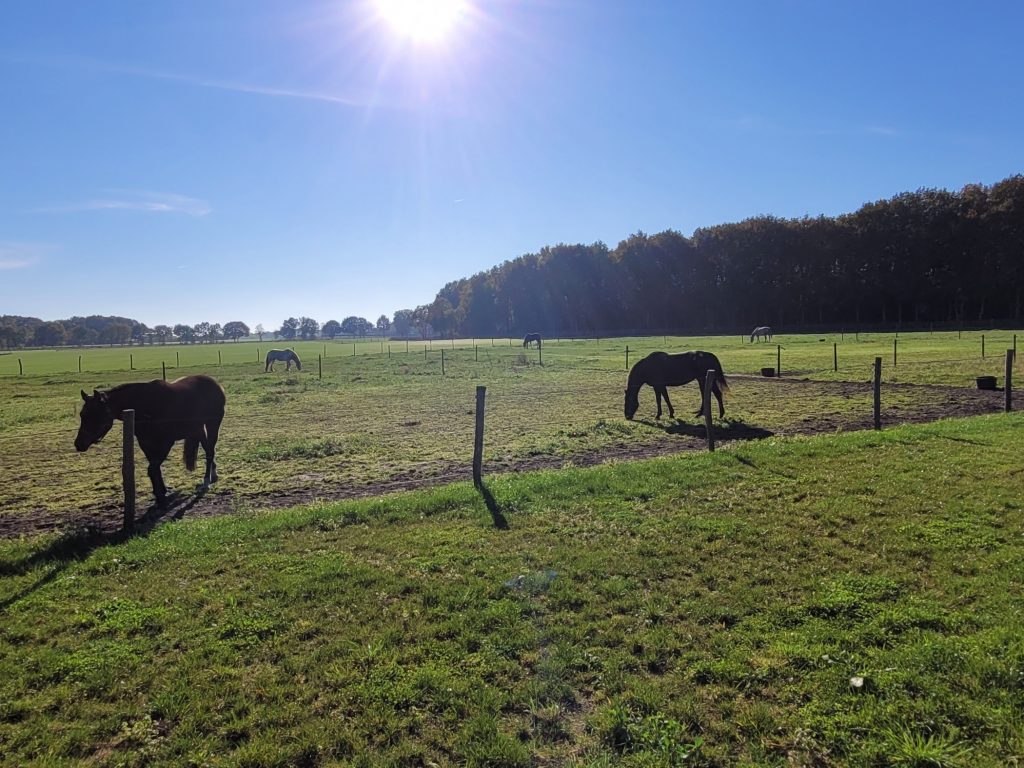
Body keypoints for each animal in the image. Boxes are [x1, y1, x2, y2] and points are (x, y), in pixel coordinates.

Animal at [76, 374, 228, 507]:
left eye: (95, 414)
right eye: (82, 414)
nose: (78, 444)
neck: (145, 407)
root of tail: (215, 384)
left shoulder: (166, 443)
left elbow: (152, 469)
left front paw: (161, 497)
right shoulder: (146, 443)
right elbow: (155, 469)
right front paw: (161, 493)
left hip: (212, 424)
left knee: (209, 451)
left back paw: (206, 481)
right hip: (199, 429)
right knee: (209, 449)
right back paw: (213, 474)